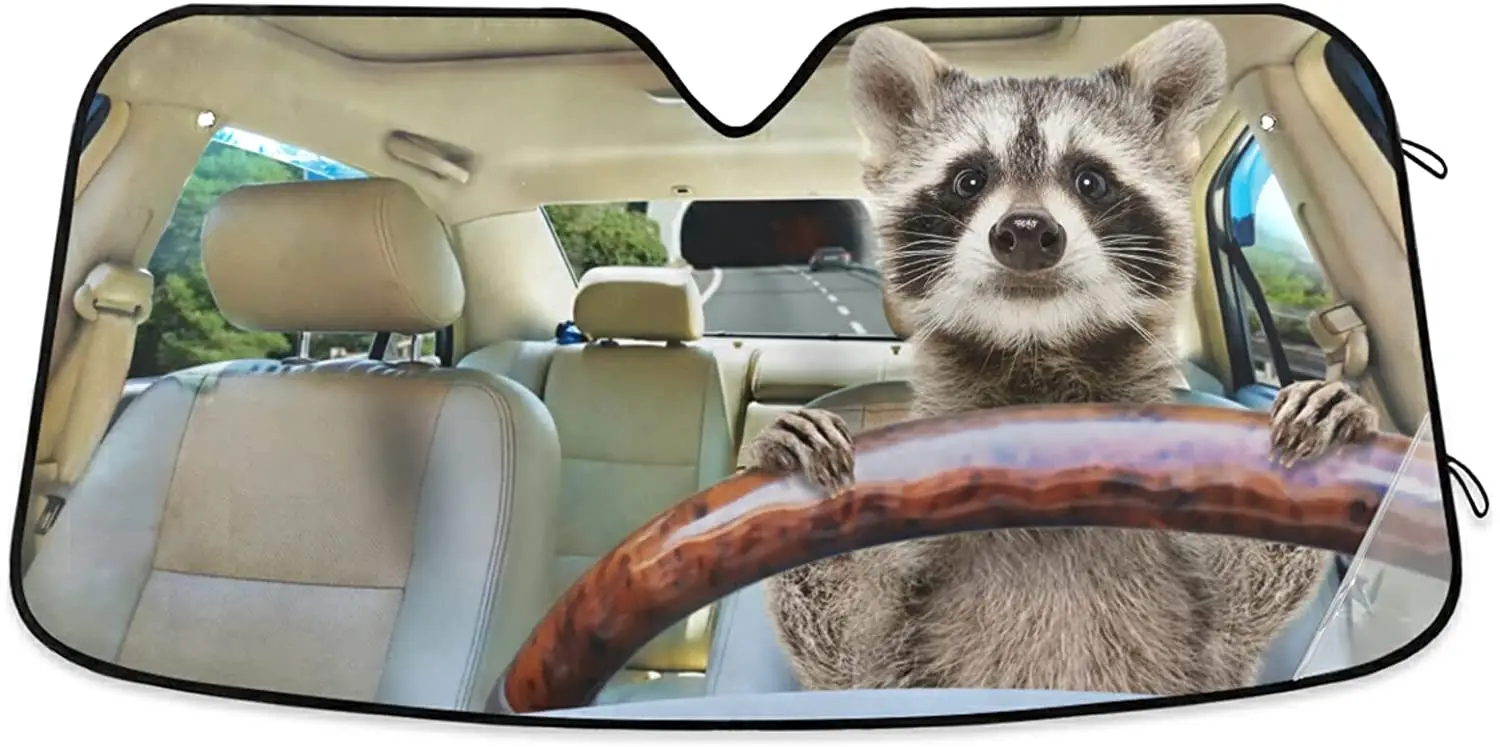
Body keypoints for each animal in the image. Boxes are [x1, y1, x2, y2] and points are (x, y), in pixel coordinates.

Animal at [746, 19, 1380, 696]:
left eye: (1090, 180)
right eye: (969, 180)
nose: (1026, 233)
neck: (1040, 360)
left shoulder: (1207, 618)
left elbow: (1245, 596)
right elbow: (851, 643)